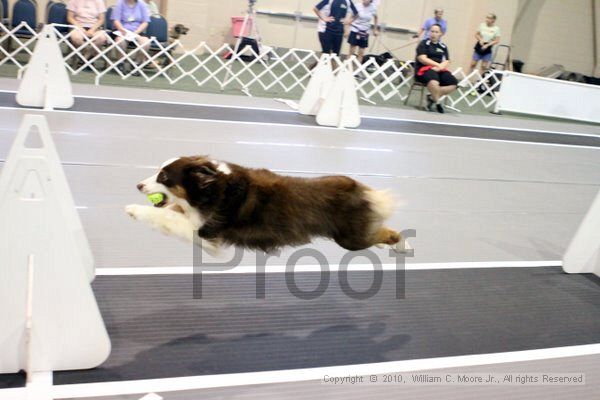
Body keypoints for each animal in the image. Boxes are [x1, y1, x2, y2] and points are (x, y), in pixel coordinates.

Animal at [126, 156, 408, 253]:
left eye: (163, 177)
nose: (138, 185)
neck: (212, 188)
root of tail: (362, 190)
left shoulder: (209, 234)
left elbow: (168, 217)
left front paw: (132, 210)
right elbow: (172, 212)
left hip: (350, 240)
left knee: (389, 233)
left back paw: (402, 244)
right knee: (379, 230)